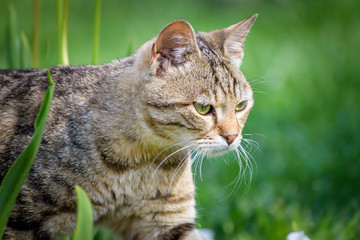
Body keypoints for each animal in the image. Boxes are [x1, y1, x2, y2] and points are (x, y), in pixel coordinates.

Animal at [0, 14, 258, 239]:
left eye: (241, 106)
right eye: (203, 108)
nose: (233, 136)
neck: (140, 162)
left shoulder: (168, 221)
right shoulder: (18, 220)